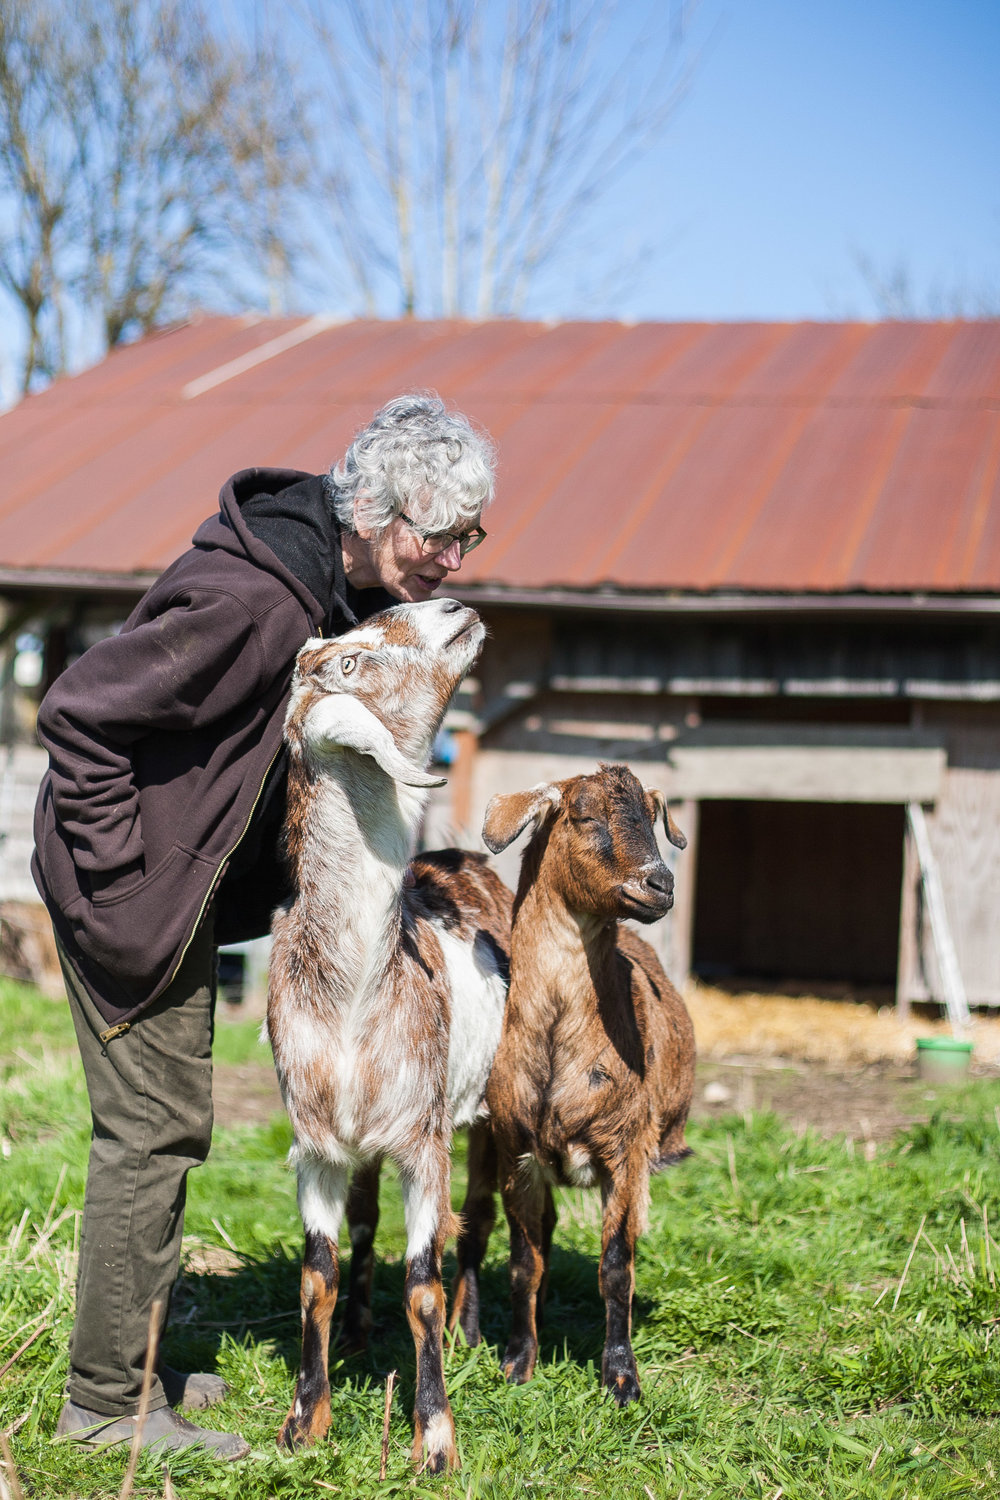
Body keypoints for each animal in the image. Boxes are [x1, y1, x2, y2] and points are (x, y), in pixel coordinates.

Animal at [268, 591, 509, 1470]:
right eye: (349, 659)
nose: (452, 604)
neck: (352, 997)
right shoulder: (316, 1146)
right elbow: (318, 1272)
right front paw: (306, 1419)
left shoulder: (421, 1141)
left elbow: (423, 1282)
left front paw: (434, 1438)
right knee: (367, 1229)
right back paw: (360, 1327)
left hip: (487, 1112)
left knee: (479, 1221)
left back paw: (474, 1331)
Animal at [485, 768, 695, 1410]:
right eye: (583, 816)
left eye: (651, 818)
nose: (660, 884)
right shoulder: (518, 1154)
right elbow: (523, 1262)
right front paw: (517, 1363)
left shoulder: (625, 1153)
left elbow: (616, 1266)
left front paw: (621, 1379)